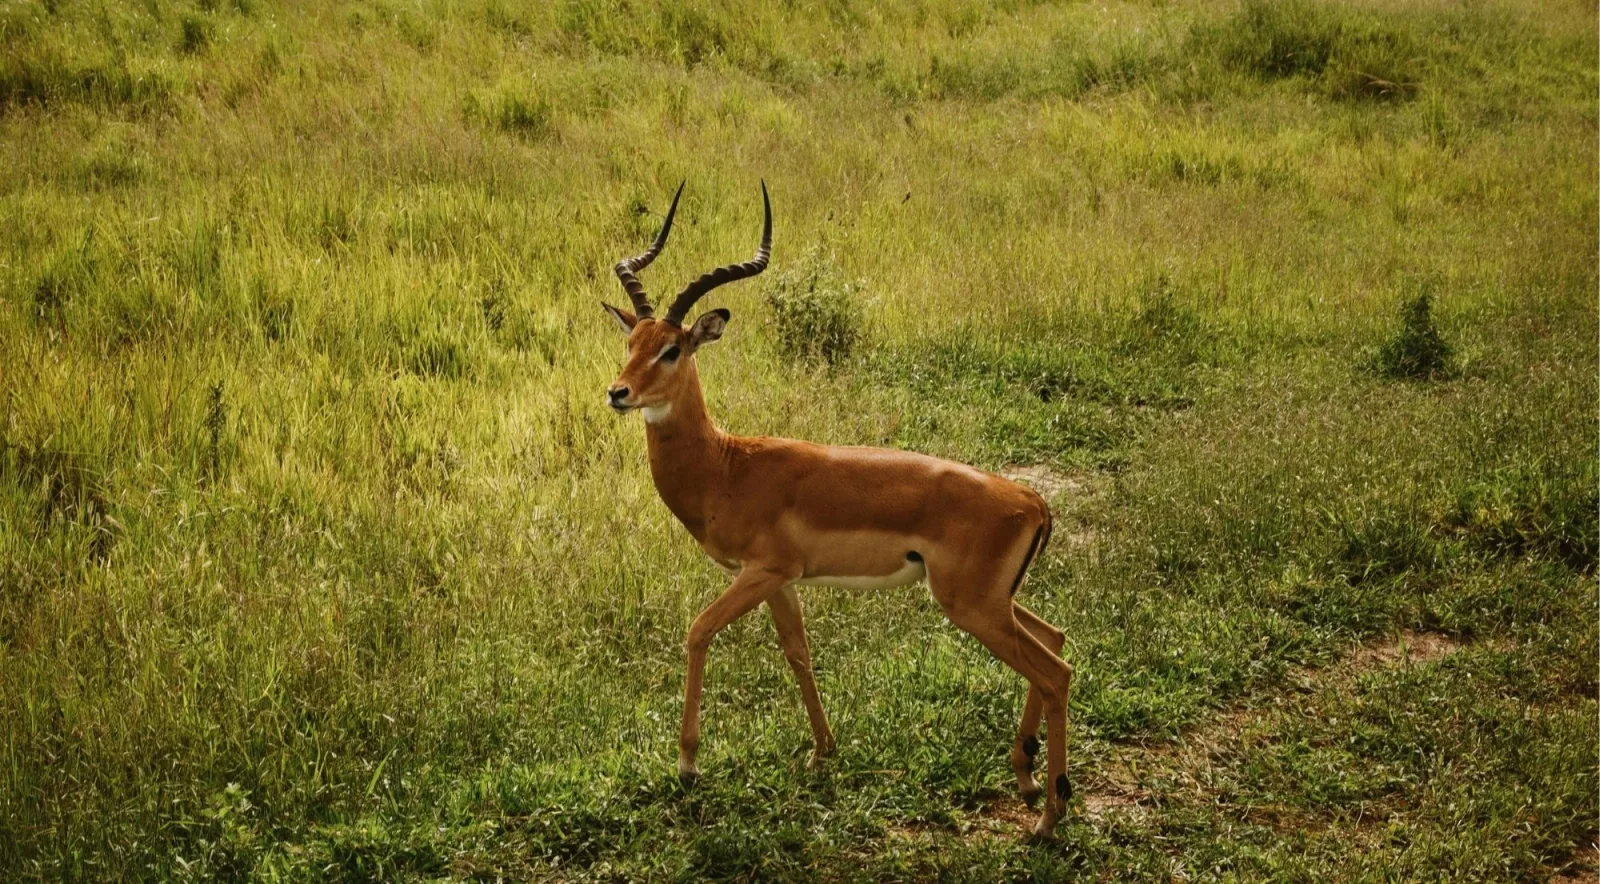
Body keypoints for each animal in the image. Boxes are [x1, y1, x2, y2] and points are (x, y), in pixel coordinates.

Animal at [601, 182, 1074, 836]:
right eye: (631, 343)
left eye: (672, 349)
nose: (618, 393)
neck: (725, 467)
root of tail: (1032, 499)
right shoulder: (780, 581)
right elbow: (798, 651)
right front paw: (822, 749)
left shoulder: (761, 571)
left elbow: (698, 631)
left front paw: (689, 764)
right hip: (992, 601)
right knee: (1055, 640)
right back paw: (1027, 778)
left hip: (972, 606)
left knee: (1054, 673)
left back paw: (1049, 818)